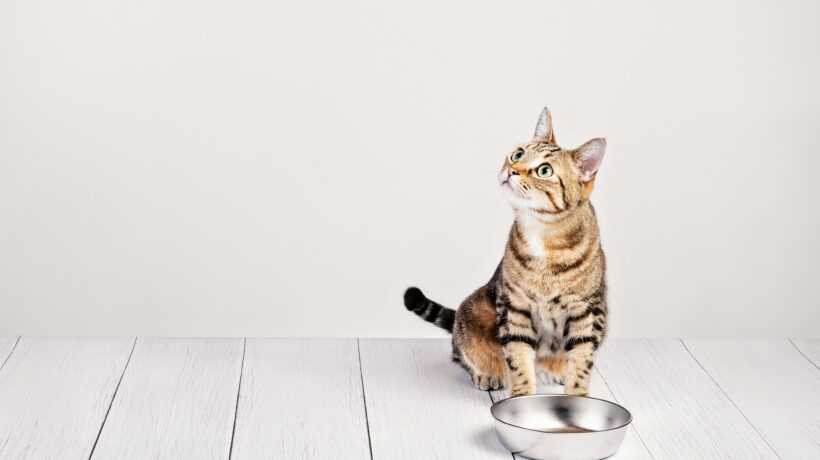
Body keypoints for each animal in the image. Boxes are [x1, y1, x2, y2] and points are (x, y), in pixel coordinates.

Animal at [406, 107, 608, 396]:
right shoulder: (514, 305)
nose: (512, 169)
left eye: (544, 170)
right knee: (460, 353)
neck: (542, 233)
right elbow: (518, 356)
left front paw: (578, 397)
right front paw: (522, 394)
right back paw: (488, 374)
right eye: (518, 154)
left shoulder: (588, 310)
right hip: (472, 311)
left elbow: (581, 361)